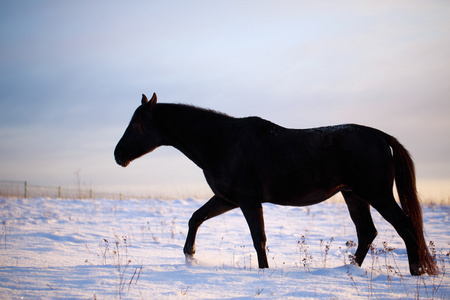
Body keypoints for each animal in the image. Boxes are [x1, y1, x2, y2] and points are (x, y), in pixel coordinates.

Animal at [114, 92, 438, 276]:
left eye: (137, 124)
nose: (118, 155)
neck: (222, 142)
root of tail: (382, 137)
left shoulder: (247, 200)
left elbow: (258, 238)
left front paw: (263, 271)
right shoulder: (228, 199)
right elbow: (196, 217)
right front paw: (189, 255)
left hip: (376, 194)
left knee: (405, 226)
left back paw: (416, 272)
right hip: (354, 195)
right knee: (367, 232)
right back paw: (349, 270)